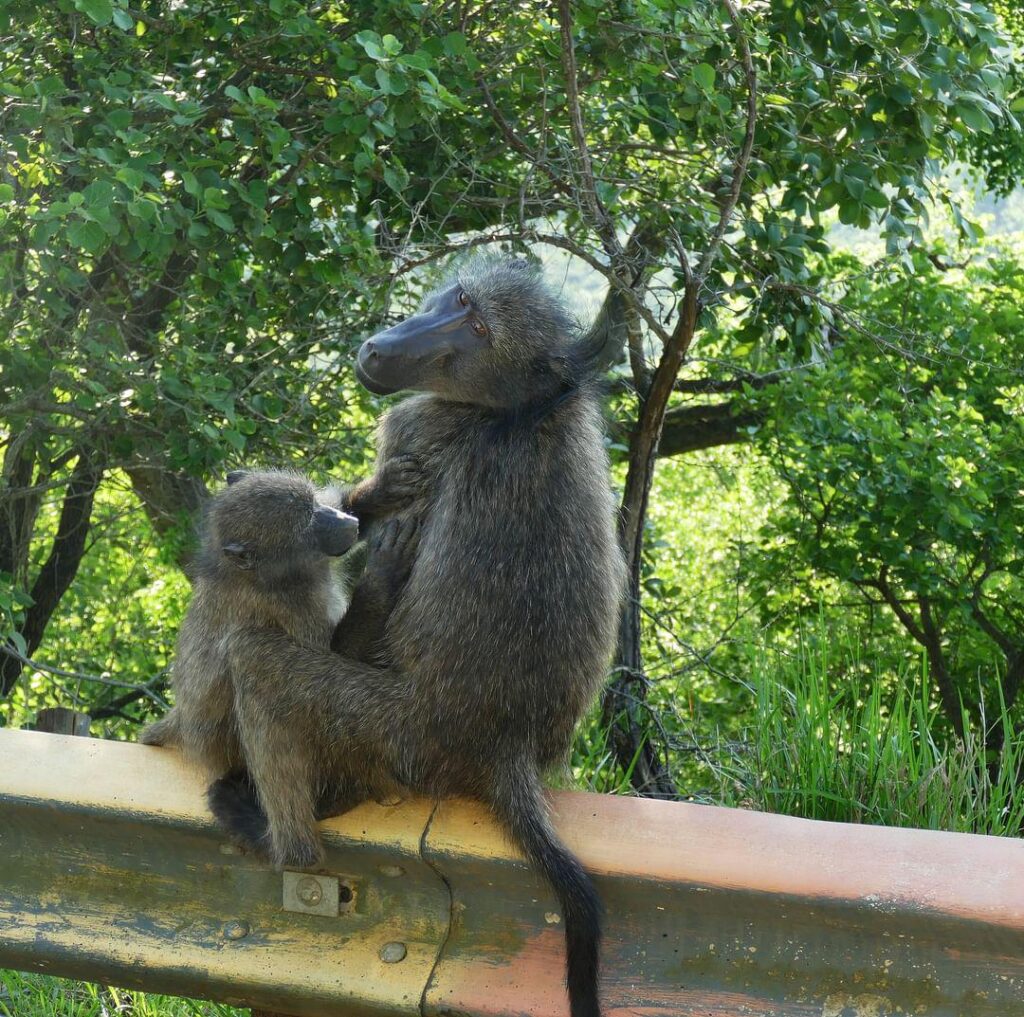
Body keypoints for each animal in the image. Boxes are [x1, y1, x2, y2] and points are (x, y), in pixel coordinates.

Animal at [208, 257, 626, 1017]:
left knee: (254, 663)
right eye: (460, 300)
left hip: (396, 736)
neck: (518, 408)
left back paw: (280, 837)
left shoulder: (414, 429)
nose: (385, 346)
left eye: (481, 330)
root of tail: (506, 746)